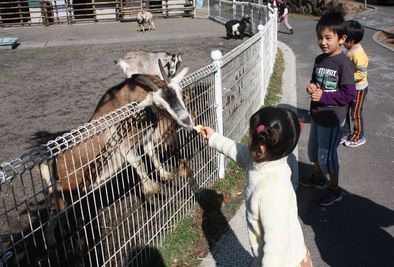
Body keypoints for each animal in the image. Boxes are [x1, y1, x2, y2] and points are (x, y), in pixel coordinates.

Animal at [39, 61, 193, 214]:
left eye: (180, 93)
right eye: (160, 105)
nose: (187, 121)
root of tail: (53, 165)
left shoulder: (145, 138)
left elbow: (153, 154)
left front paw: (165, 175)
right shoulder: (123, 146)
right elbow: (139, 162)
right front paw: (151, 188)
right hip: (66, 194)